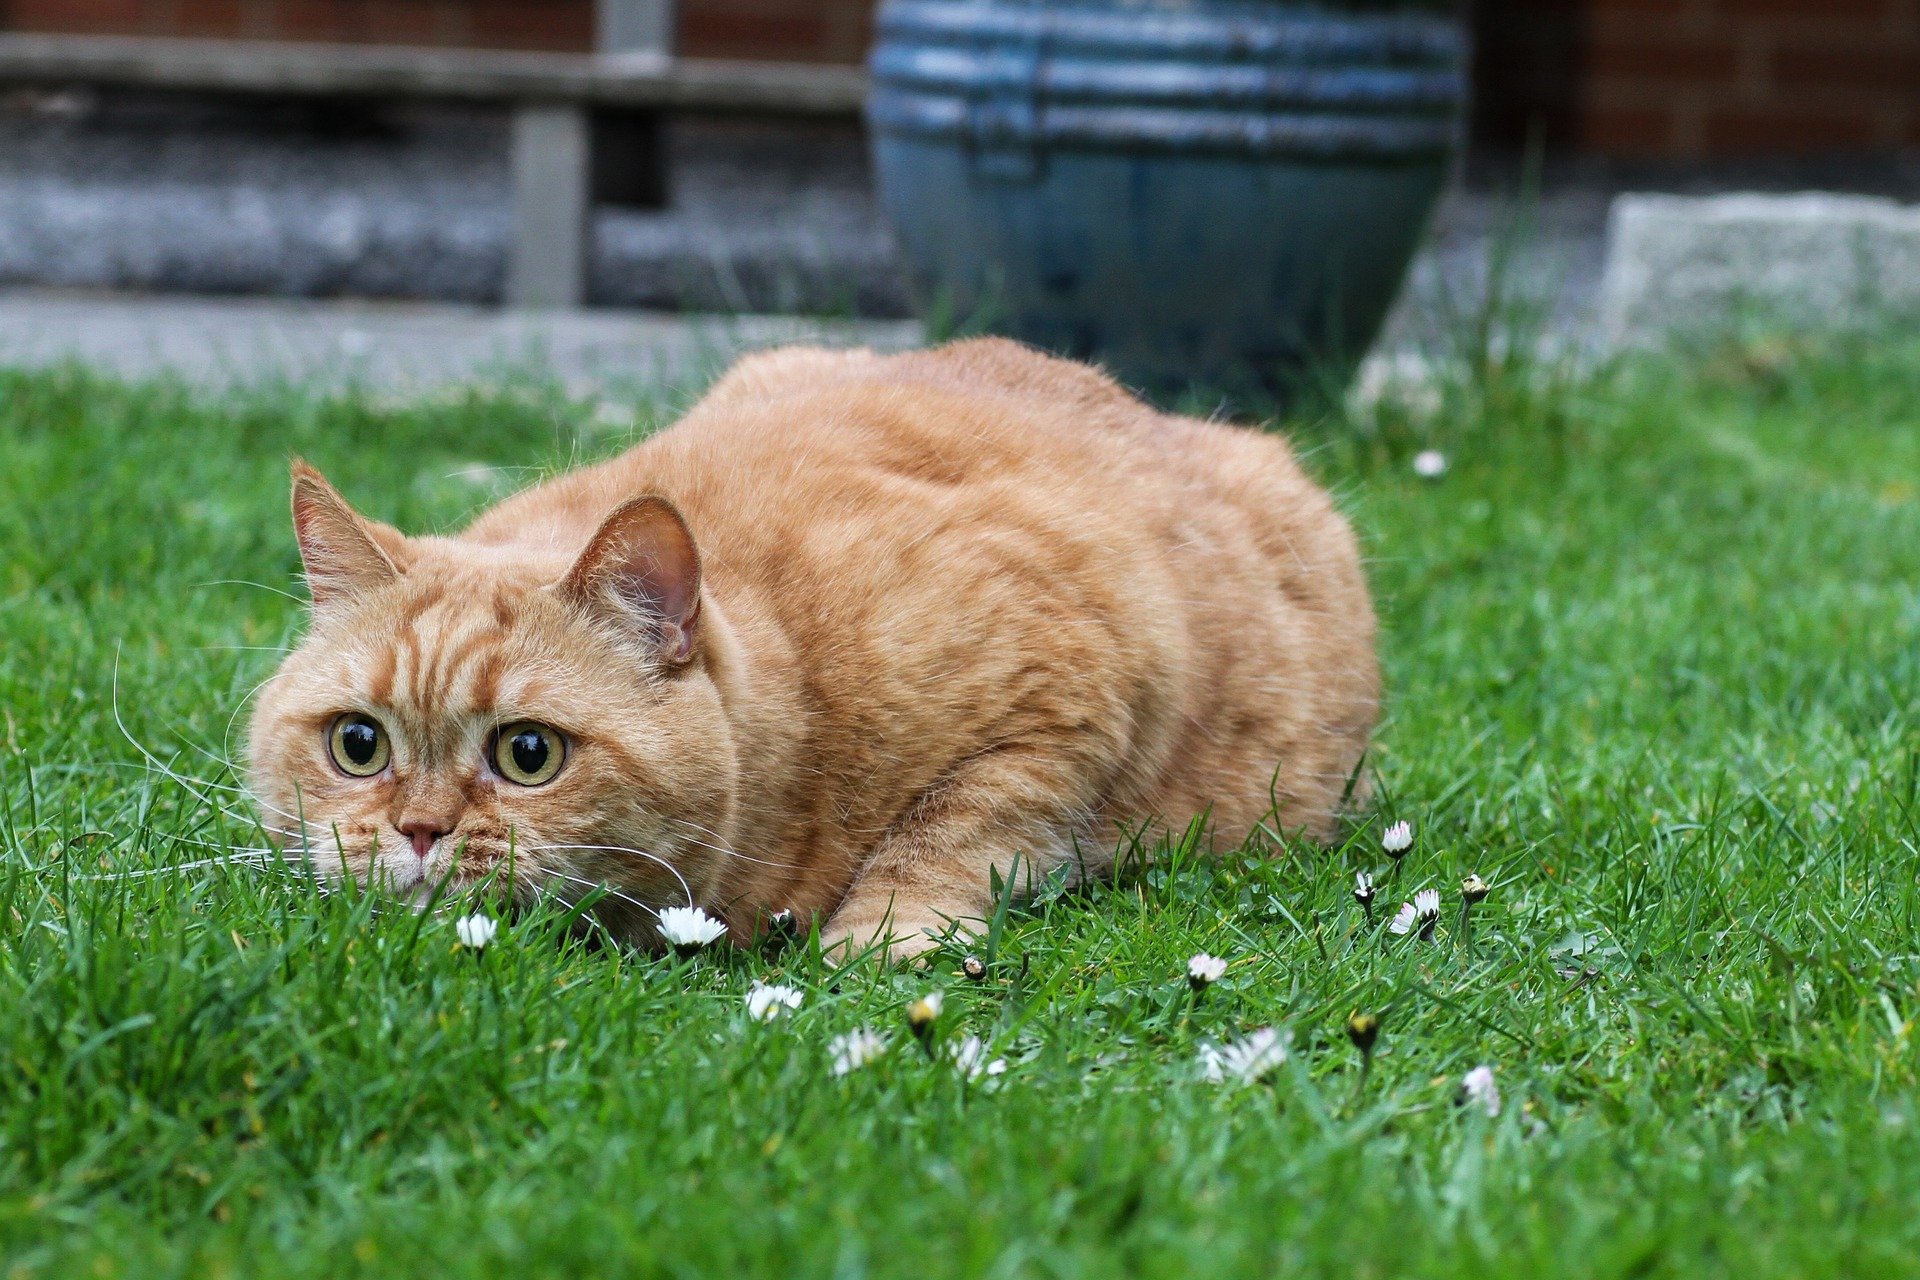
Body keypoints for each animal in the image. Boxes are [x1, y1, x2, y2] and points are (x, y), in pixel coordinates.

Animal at [243, 339, 1382, 959]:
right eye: (357, 744)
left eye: (529, 754)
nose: (418, 831)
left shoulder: (1077, 688)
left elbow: (952, 827)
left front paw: (883, 941)